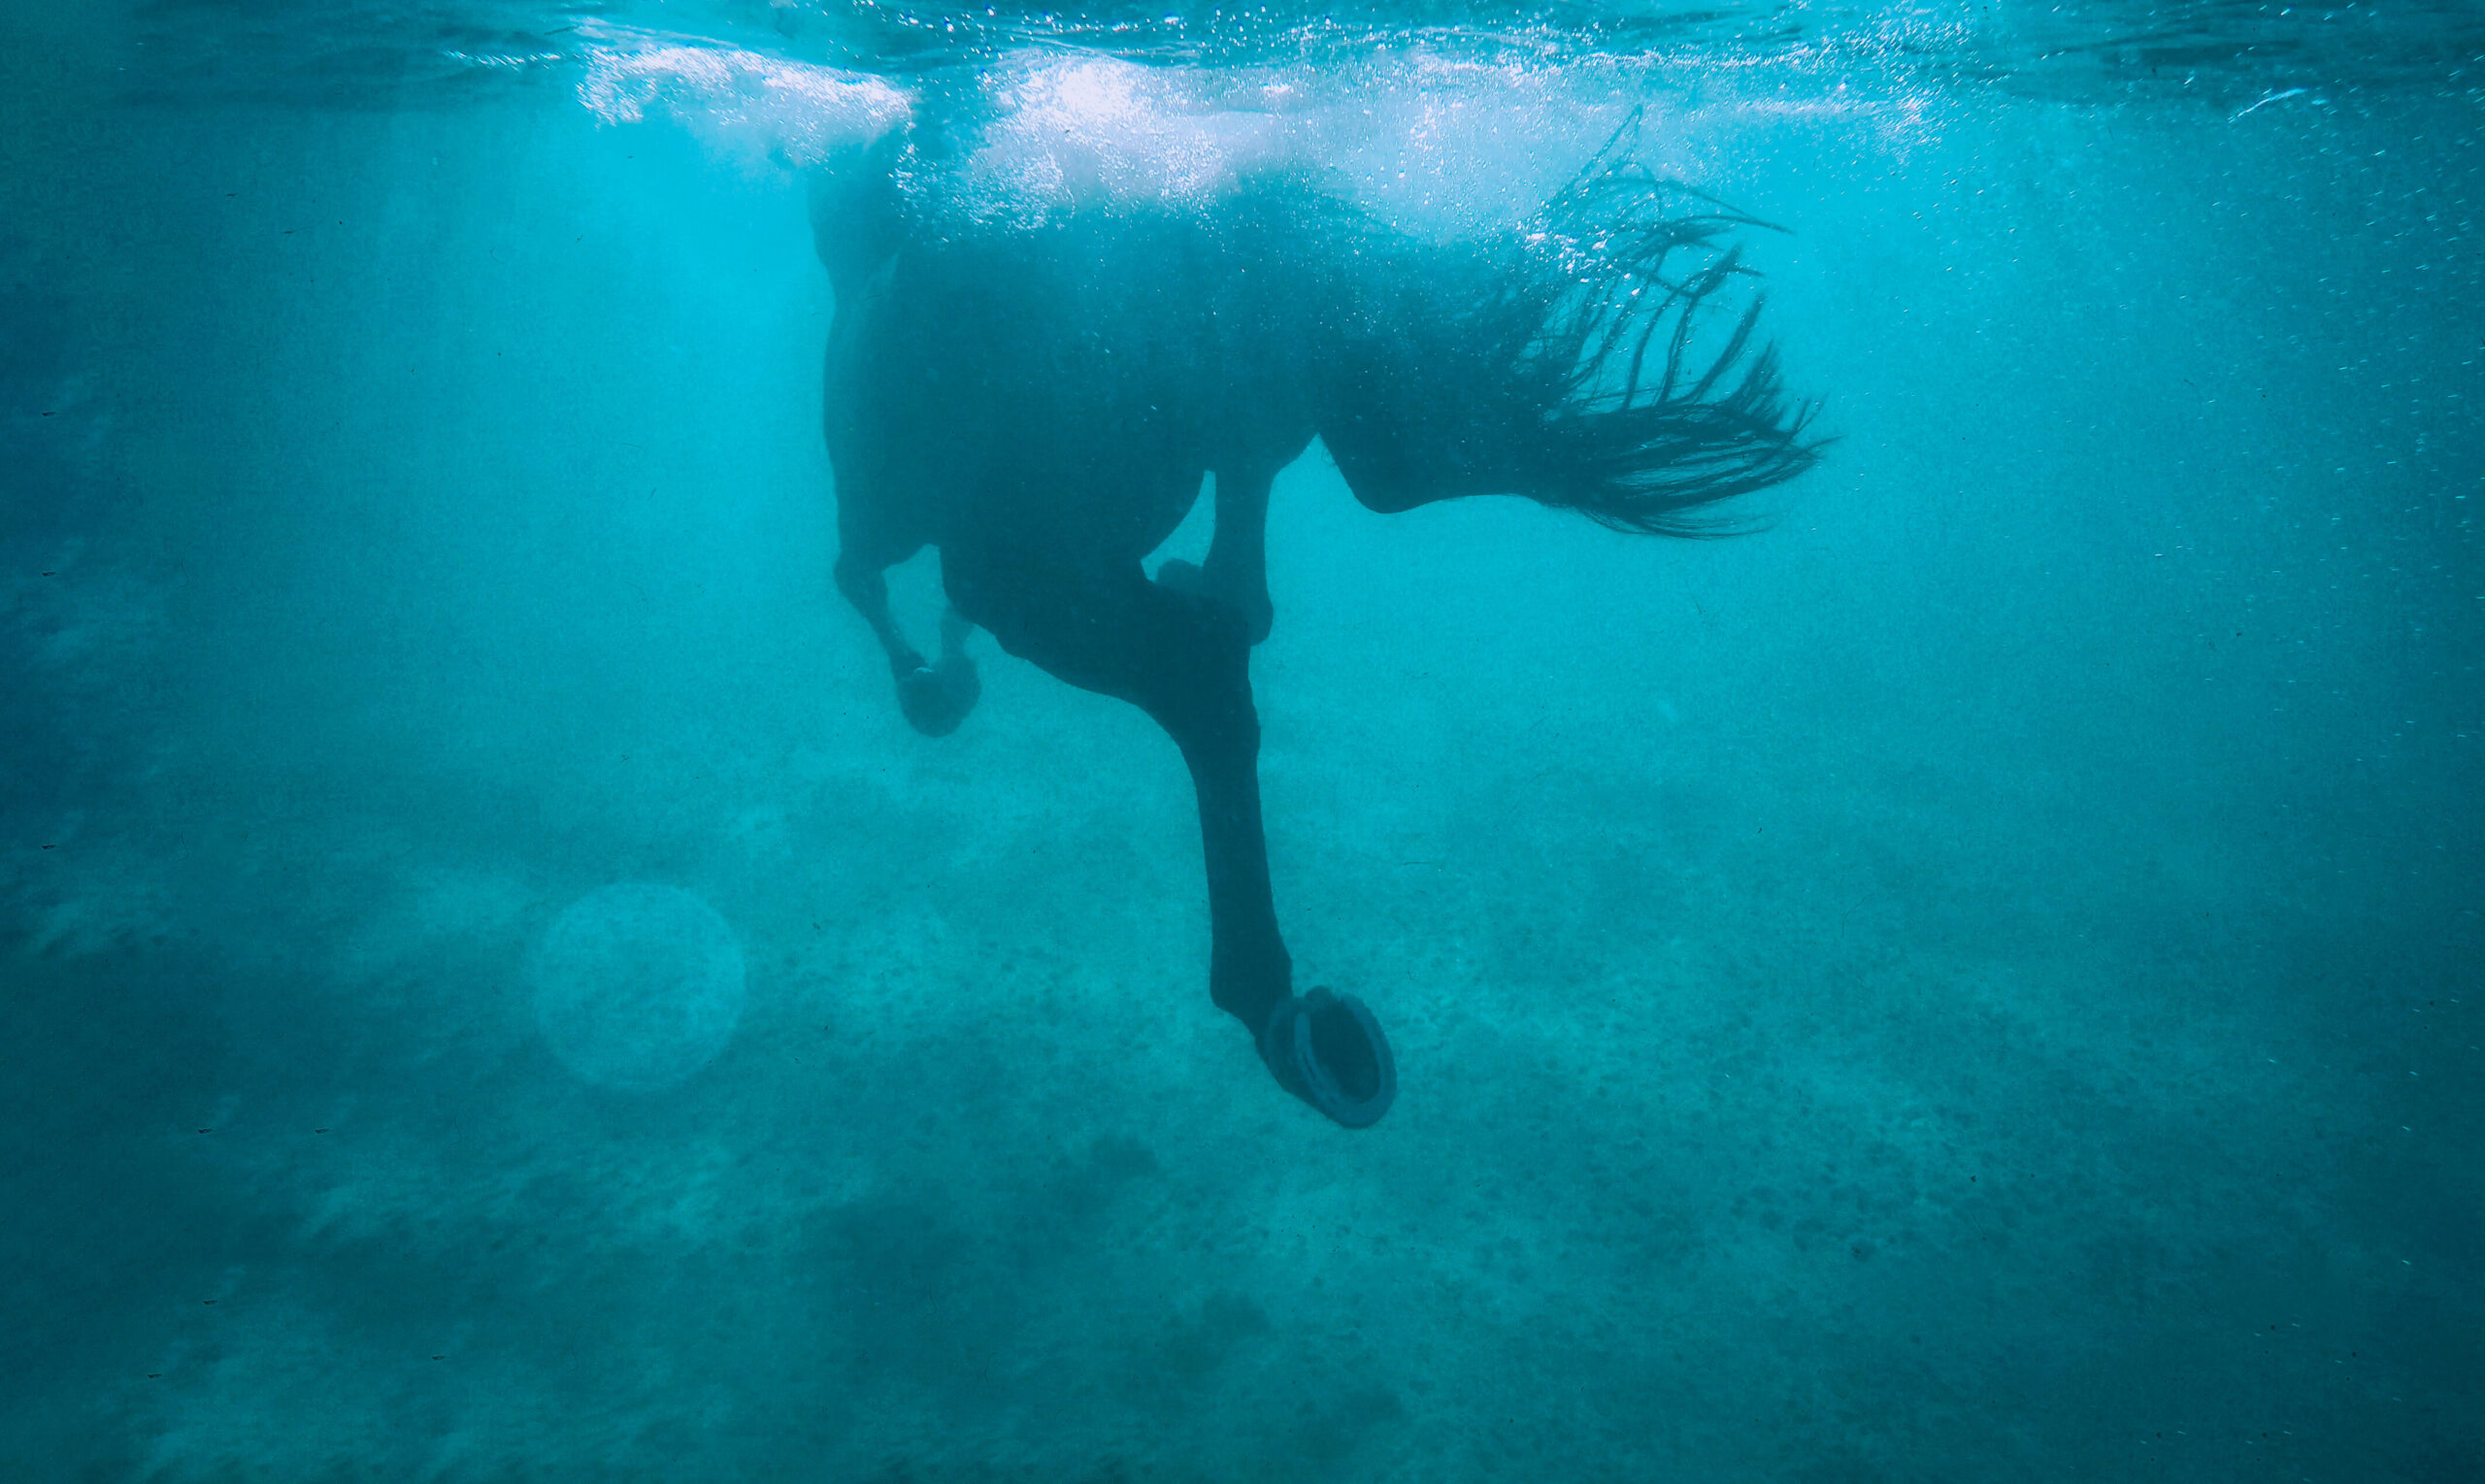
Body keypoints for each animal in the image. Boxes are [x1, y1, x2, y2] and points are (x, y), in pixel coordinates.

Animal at [808, 115, 1820, 1128]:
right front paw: (949, 674)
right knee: (1235, 614)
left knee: (1189, 668)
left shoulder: (893, 508)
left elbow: (860, 580)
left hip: (1024, 559)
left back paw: (1279, 1013)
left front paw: (933, 687)